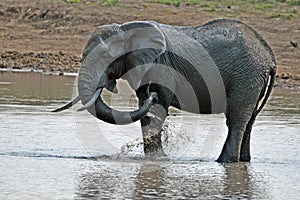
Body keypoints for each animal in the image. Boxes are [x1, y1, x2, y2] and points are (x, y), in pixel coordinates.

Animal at [52, 18, 276, 162]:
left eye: (106, 57)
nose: (151, 94)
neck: (126, 29)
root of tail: (269, 55)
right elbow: (146, 113)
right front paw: (156, 160)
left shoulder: (162, 67)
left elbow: (157, 110)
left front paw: (157, 159)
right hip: (253, 78)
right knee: (249, 120)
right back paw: (243, 161)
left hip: (246, 75)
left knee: (236, 119)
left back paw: (224, 161)